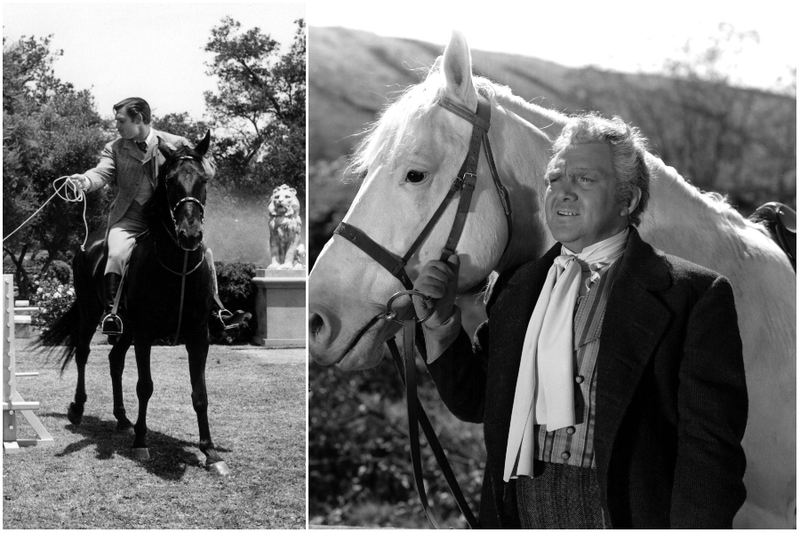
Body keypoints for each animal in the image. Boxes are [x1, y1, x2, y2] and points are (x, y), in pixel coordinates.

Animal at [39, 130, 228, 474]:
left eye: (204, 179)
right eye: (169, 181)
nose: (190, 234)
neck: (177, 264)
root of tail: (89, 242)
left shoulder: (198, 335)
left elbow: (200, 393)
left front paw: (210, 452)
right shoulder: (145, 334)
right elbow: (145, 386)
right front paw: (141, 443)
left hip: (125, 328)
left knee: (115, 360)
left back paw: (123, 418)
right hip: (91, 312)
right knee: (84, 353)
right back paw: (78, 409)